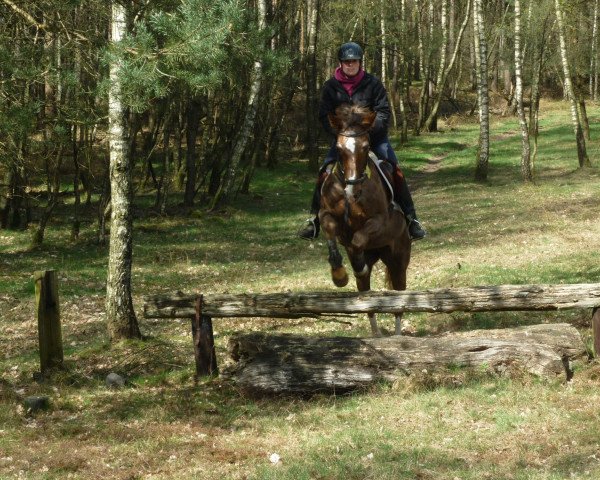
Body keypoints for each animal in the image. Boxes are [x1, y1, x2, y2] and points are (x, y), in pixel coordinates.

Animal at [318, 104, 412, 338]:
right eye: (339, 148)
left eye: (366, 146)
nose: (353, 189)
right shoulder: (326, 214)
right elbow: (330, 229)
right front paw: (339, 274)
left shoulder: (380, 221)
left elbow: (360, 238)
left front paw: (357, 265)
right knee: (367, 301)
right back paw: (376, 334)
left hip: (399, 261)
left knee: (399, 299)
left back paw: (397, 335)